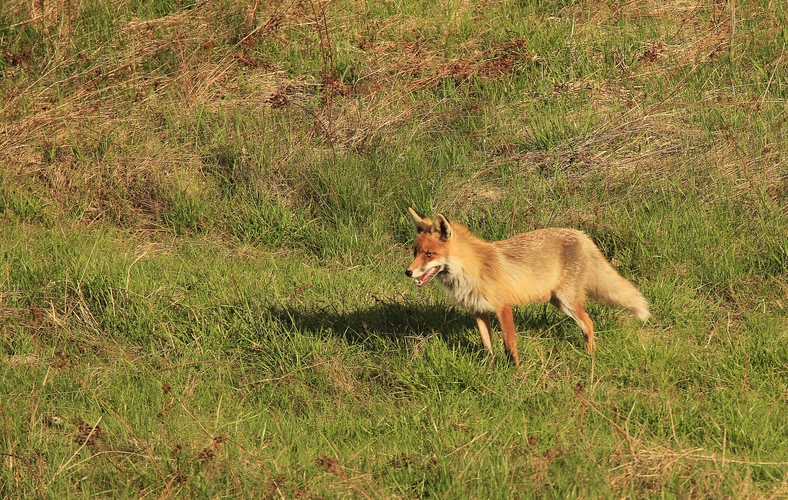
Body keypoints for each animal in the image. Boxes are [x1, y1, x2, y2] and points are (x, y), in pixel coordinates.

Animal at [404, 208, 648, 368]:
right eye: (415, 252)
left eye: (429, 254)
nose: (407, 272)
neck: (472, 271)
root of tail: (581, 234)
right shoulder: (479, 310)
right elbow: (487, 345)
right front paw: (490, 368)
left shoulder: (503, 307)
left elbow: (509, 345)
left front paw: (516, 371)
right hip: (559, 303)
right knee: (585, 325)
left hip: (568, 301)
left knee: (589, 324)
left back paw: (591, 356)